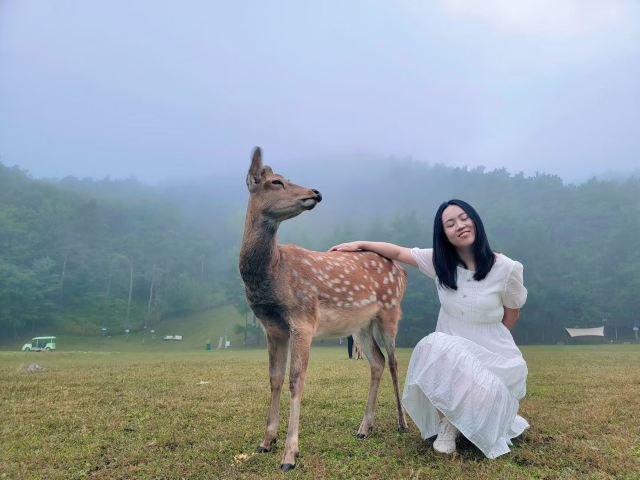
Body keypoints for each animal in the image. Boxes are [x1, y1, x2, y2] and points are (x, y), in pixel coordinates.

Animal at [239, 147, 408, 472]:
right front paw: (266, 442)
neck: (273, 272)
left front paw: (289, 455)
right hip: (361, 325)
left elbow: (296, 379)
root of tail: (402, 271)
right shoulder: (271, 326)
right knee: (377, 362)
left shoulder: (303, 318)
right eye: (277, 182)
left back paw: (402, 423)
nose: (315, 192)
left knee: (394, 362)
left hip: (391, 311)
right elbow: (274, 378)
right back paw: (364, 428)